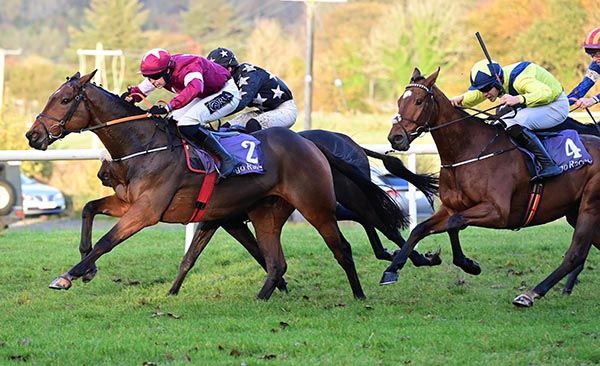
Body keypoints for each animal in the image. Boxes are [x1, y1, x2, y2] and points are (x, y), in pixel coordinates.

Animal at [25, 71, 406, 300]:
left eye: (63, 100)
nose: (33, 135)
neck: (144, 143)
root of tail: (310, 144)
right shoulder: (132, 203)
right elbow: (90, 210)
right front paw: (87, 267)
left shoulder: (147, 211)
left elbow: (107, 241)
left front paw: (68, 275)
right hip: (269, 212)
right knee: (276, 262)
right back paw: (261, 299)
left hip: (317, 205)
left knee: (344, 245)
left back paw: (361, 293)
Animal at [380, 68, 600, 306]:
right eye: (400, 101)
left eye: (419, 101)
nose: (395, 138)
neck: (467, 151)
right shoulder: (450, 206)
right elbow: (421, 229)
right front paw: (393, 269)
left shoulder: (498, 212)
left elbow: (455, 222)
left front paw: (467, 263)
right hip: (575, 212)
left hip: (590, 207)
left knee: (575, 254)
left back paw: (530, 294)